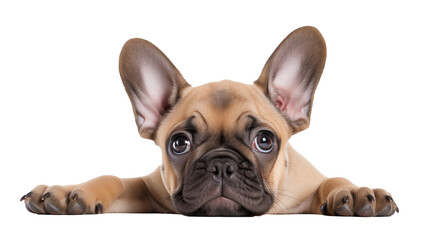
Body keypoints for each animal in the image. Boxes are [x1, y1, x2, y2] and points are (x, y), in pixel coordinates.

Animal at [20, 26, 396, 218]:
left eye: (264, 141)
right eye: (179, 143)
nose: (221, 165)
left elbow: (333, 180)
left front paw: (356, 192)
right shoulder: (146, 189)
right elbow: (112, 178)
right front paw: (70, 191)